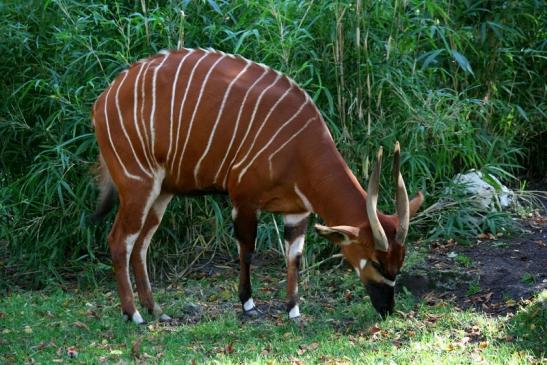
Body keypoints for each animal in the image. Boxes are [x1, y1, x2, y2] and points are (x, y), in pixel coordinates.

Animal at [91, 47, 424, 322]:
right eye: (377, 263)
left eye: (400, 262)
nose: (386, 308)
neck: (301, 146)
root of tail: (102, 99)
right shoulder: (244, 198)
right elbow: (247, 249)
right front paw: (248, 304)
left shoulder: (297, 212)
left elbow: (294, 257)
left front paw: (293, 310)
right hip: (138, 185)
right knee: (119, 240)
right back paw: (134, 314)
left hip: (162, 192)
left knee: (141, 245)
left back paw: (156, 310)